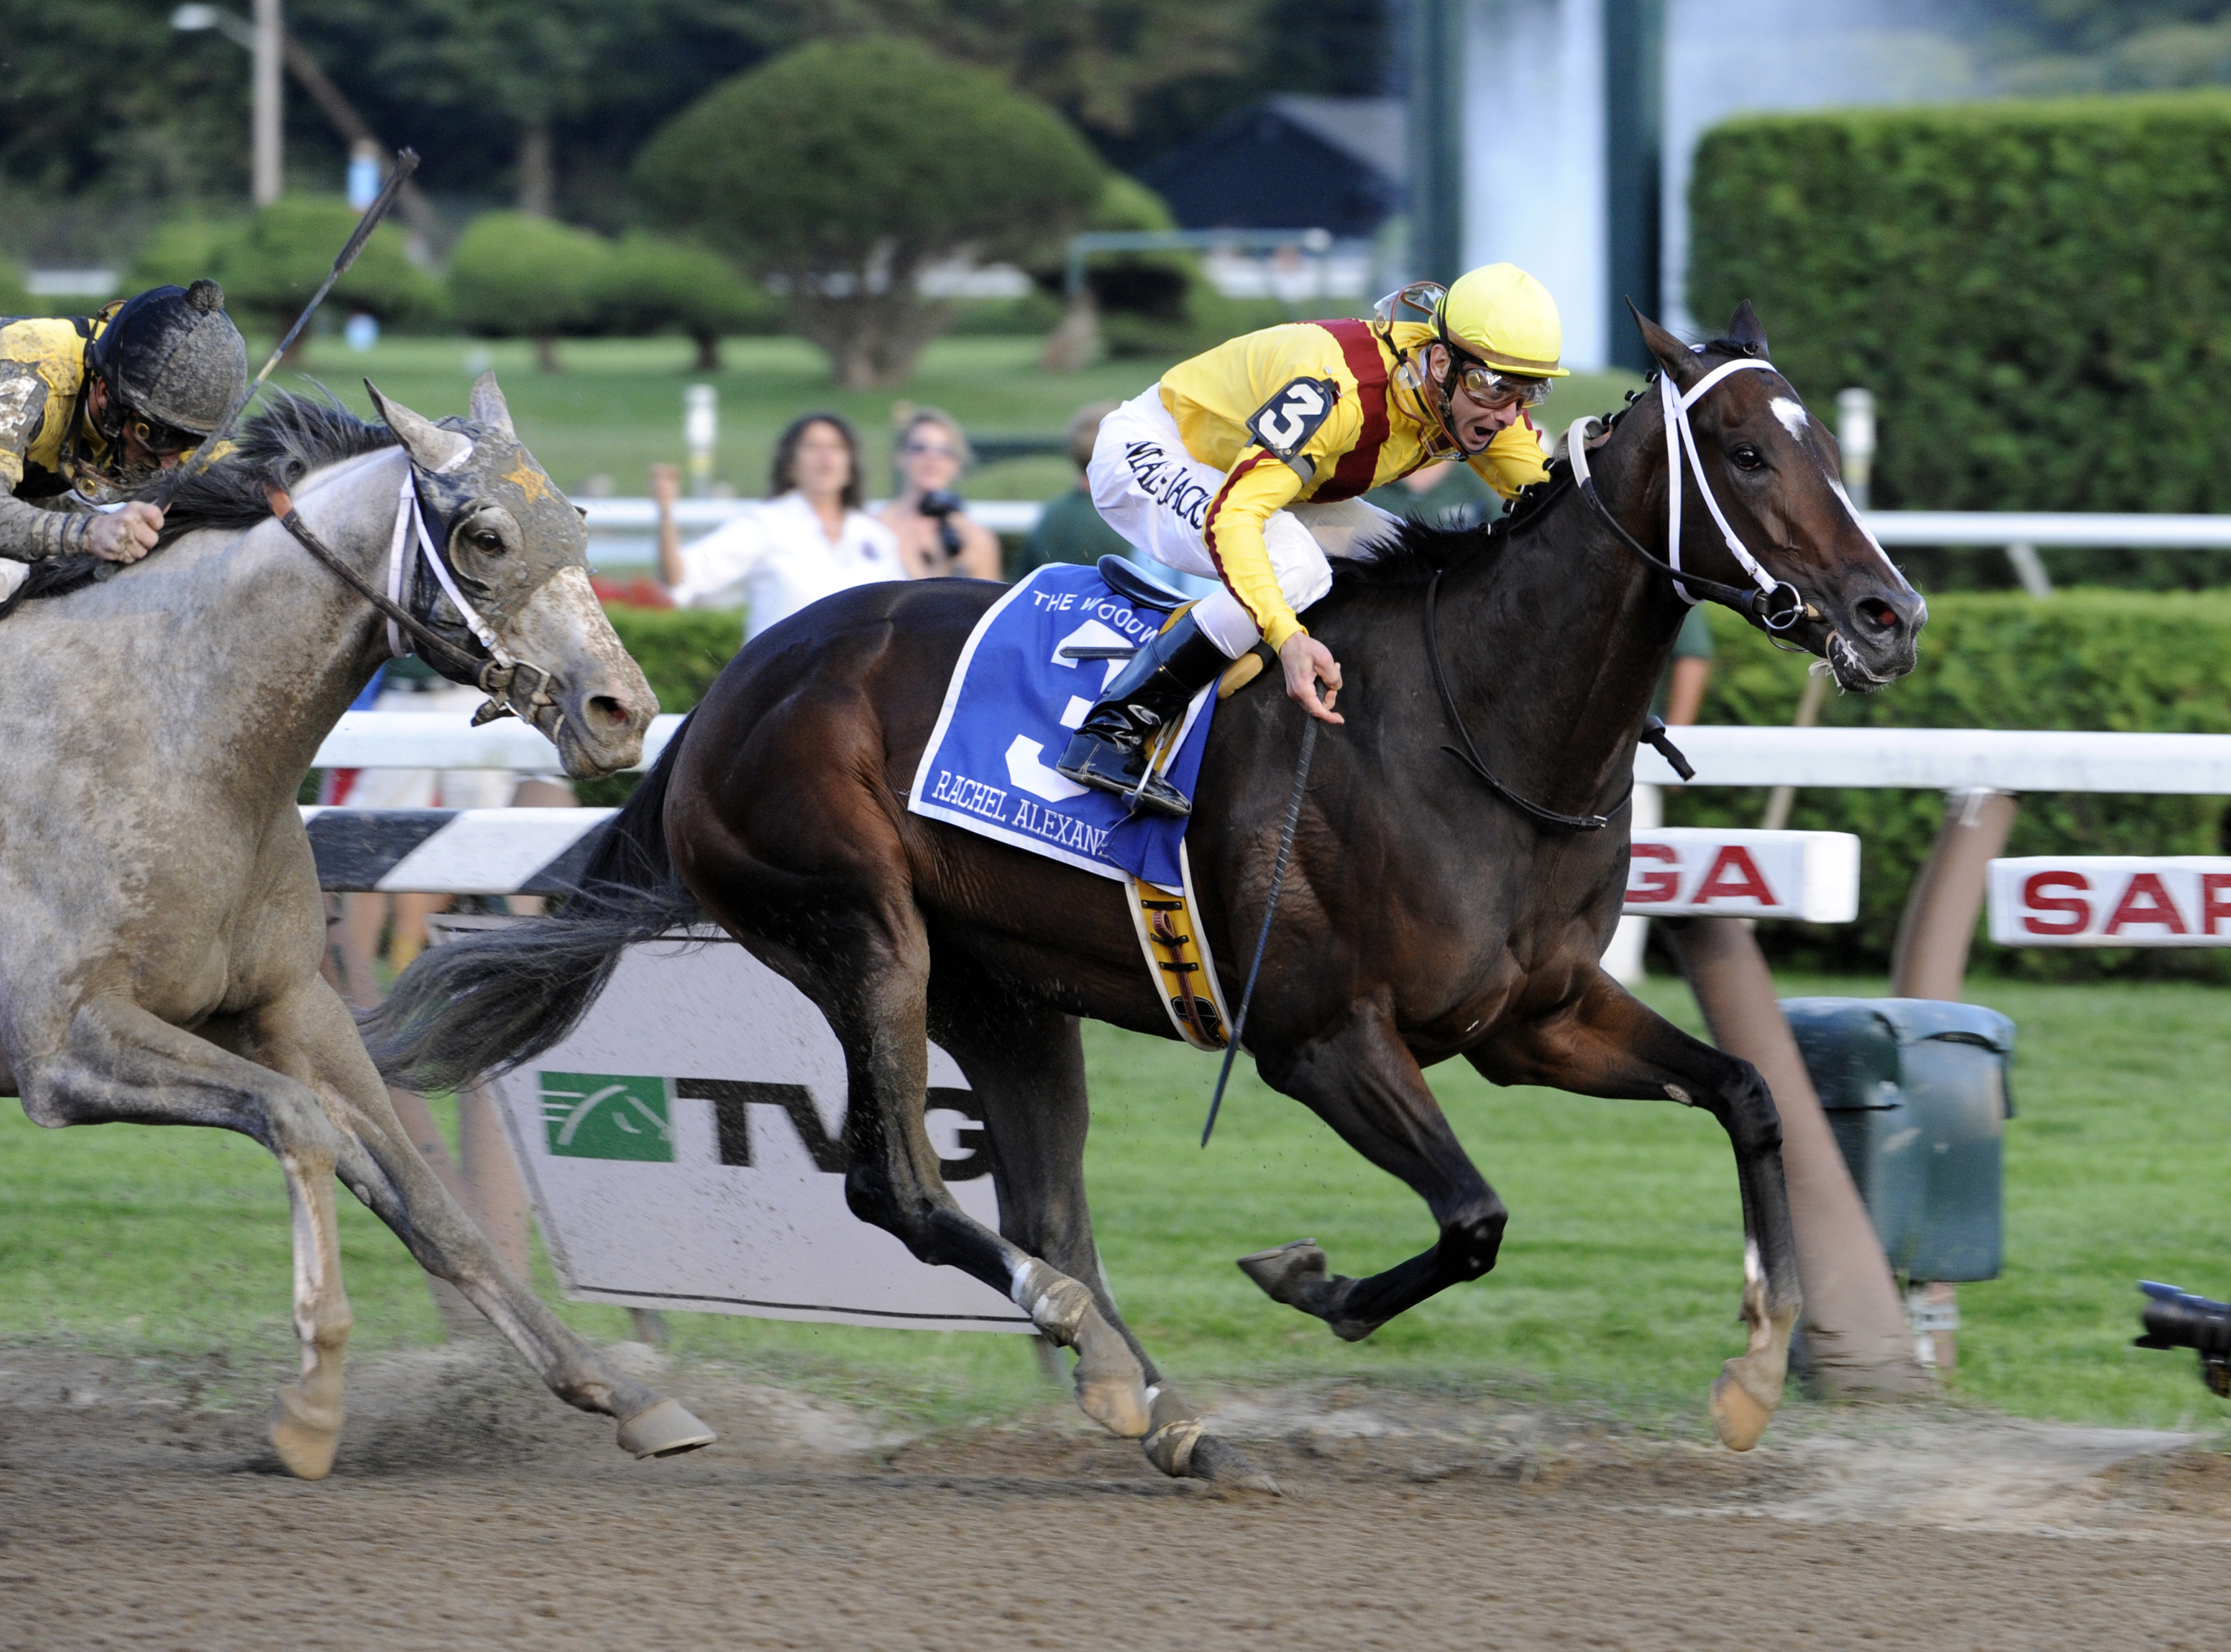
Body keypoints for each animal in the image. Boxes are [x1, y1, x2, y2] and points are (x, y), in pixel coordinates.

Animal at [0, 376, 714, 1480]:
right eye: (487, 537)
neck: (168, 738)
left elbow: (430, 1202)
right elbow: (301, 1120)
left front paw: (623, 1391)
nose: (623, 710)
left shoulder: (292, 1006)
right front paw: (310, 1404)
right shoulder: (61, 1042)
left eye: (580, 522)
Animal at [366, 305, 1919, 1480]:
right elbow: (1474, 1216)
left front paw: (1756, 1367)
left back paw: (1148, 1400)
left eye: (1824, 445)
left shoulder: (1532, 1019)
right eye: (1742, 449)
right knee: (899, 1183)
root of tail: (727, 693)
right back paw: (1099, 1355)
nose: (1889, 615)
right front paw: (1311, 1280)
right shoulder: (1317, 1036)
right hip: (863, 934)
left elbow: (1749, 1094)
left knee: (1048, 1207)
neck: (1474, 720)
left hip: (1007, 998)